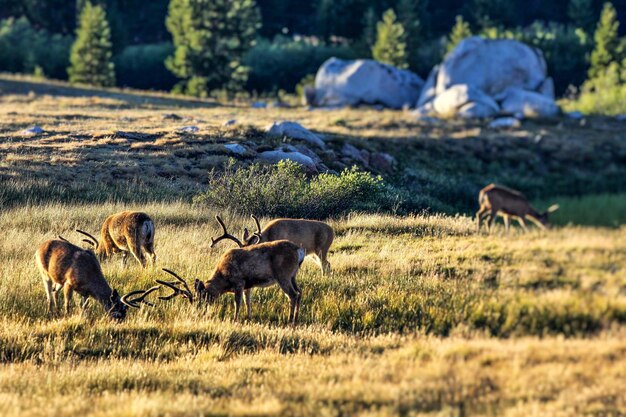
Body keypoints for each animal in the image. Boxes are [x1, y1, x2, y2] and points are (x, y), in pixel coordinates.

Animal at [157, 216, 306, 324]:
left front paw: (235, 320)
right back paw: (296, 319)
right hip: (293, 275)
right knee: (299, 292)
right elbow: (247, 302)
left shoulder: (239, 282)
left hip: (283, 274)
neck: (223, 277)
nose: (197, 312)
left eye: (200, 299)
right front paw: (248, 318)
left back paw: (290, 320)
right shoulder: (247, 285)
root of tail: (299, 251)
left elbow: (237, 303)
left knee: (292, 294)